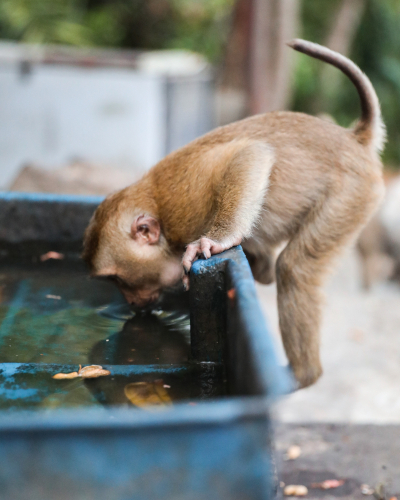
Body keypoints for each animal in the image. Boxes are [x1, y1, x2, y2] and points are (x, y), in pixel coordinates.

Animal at [83, 41, 386, 388]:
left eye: (118, 278)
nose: (131, 303)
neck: (163, 223)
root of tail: (354, 140)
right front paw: (256, 264)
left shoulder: (186, 206)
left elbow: (250, 154)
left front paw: (215, 242)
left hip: (351, 194)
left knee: (295, 268)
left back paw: (301, 376)